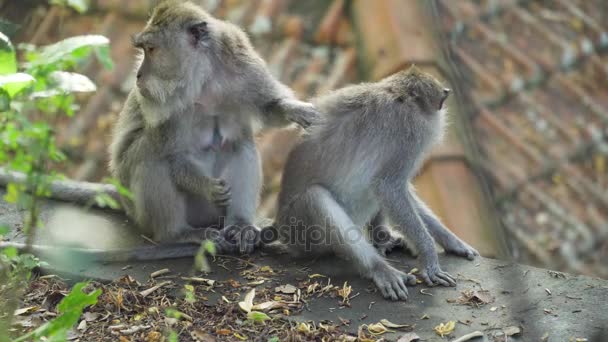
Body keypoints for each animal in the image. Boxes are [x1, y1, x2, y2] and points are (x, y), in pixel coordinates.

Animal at [0, 0, 320, 260]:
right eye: (143, 50)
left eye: (151, 50)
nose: (139, 75)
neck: (204, 79)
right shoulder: (166, 108)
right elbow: (172, 156)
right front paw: (206, 186)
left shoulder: (241, 61)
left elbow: (266, 107)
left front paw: (294, 109)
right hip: (141, 209)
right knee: (150, 156)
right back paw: (177, 234)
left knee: (240, 145)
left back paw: (239, 226)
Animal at [272, 66, 480, 300]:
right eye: (440, 97)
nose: (446, 92)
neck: (398, 95)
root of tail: (282, 230)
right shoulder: (411, 133)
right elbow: (389, 187)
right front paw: (429, 258)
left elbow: (398, 190)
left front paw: (451, 240)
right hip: (302, 232)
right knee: (316, 197)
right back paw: (379, 269)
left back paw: (383, 239)